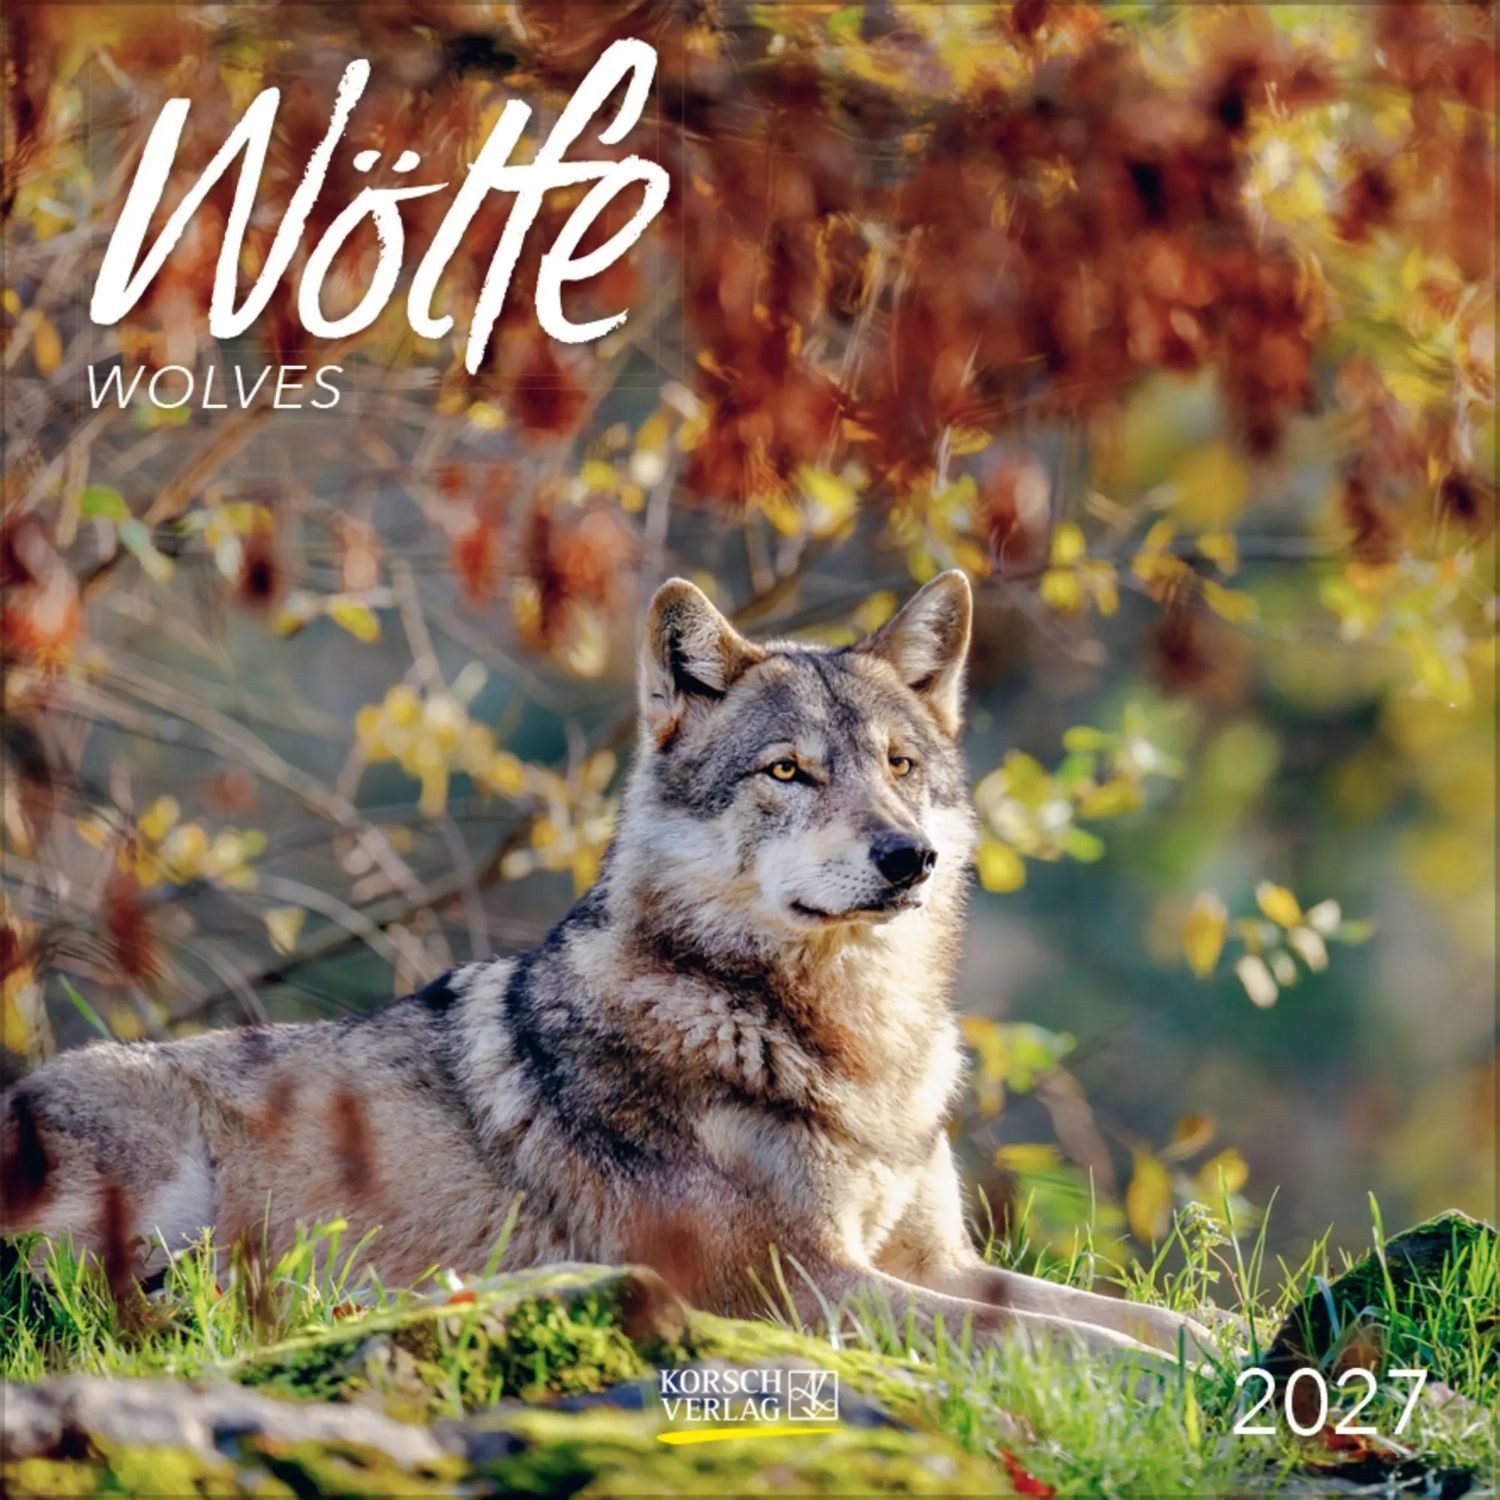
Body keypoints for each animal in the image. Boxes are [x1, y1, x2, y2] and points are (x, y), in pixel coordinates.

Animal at [2, 572, 1210, 1363]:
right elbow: (1094, 1349)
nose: (907, 856)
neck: (850, 1043)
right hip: (159, 1199)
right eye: (788, 771)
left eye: (902, 766)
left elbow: (1152, 1320)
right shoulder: (796, 1288)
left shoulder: (933, 1264)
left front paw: (1240, 1346)